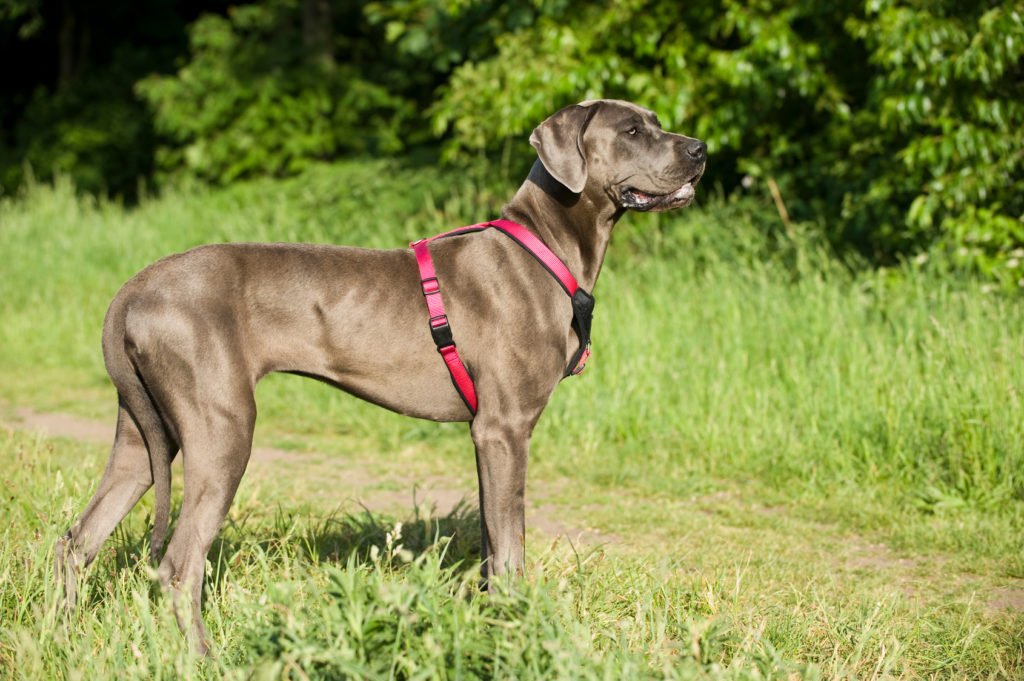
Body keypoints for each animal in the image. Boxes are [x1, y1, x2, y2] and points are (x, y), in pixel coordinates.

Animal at [54, 98, 704, 651]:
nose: (699, 148)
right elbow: (512, 551)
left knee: (76, 543)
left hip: (144, 434)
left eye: (655, 121)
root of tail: (132, 289)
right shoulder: (505, 428)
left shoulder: (487, 435)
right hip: (221, 429)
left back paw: (61, 638)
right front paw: (518, 631)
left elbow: (493, 547)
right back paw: (203, 658)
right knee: (177, 567)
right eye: (632, 131)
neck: (543, 246)